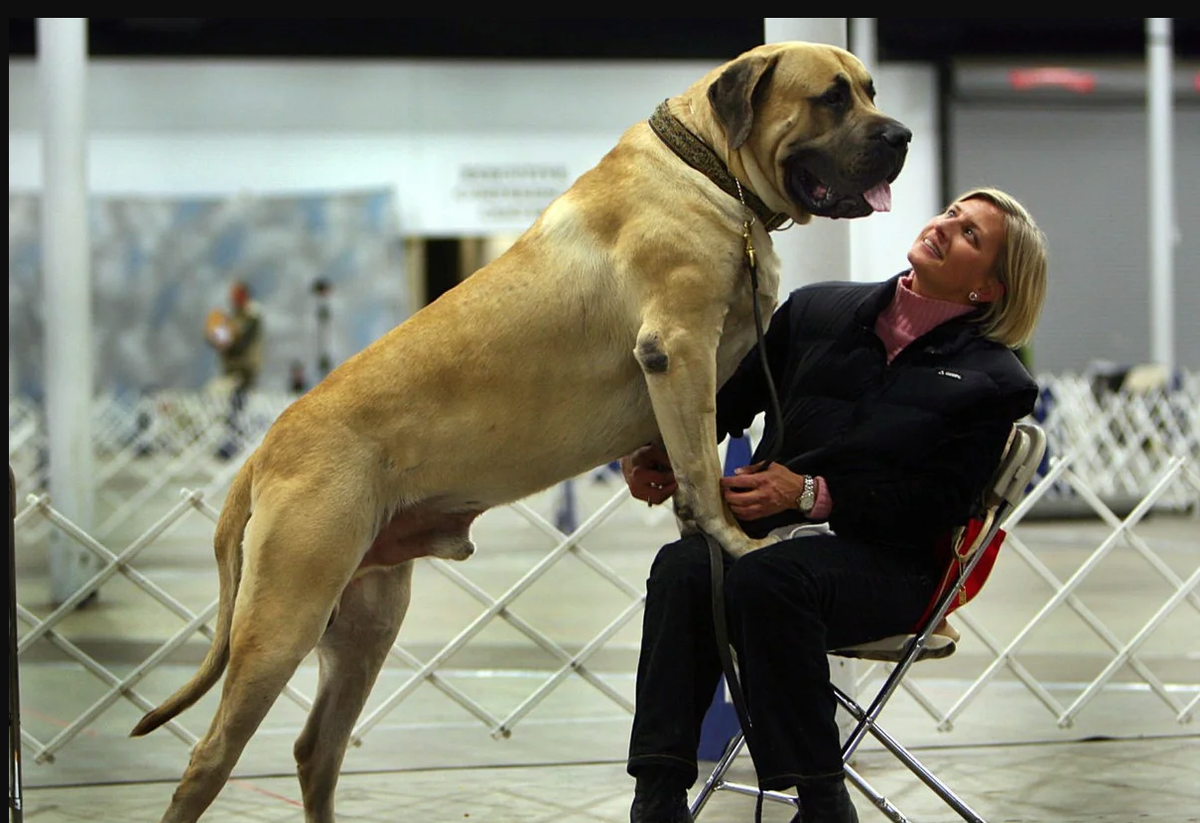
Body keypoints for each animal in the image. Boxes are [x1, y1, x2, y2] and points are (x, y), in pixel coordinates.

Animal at [131, 41, 907, 820]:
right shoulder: (680, 349)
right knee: (210, 757)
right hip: (283, 617)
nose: (901, 136)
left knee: (316, 749)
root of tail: (263, 450)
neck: (710, 168)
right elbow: (700, 465)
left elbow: (684, 463)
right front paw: (735, 541)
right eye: (832, 98)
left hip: (365, 622)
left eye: (872, 90)